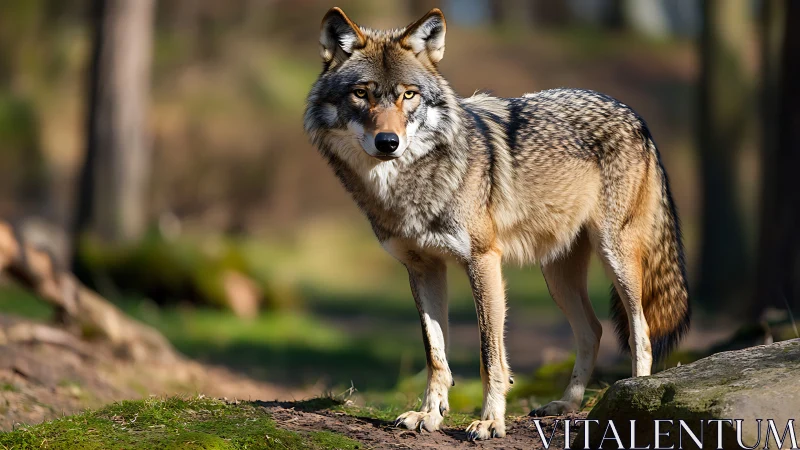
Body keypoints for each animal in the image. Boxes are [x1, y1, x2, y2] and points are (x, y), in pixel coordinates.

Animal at [304, 8, 690, 441]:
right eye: (361, 94)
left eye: (409, 94)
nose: (388, 142)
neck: (408, 186)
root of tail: (633, 113)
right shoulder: (423, 268)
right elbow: (435, 353)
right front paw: (429, 414)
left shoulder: (483, 260)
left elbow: (490, 356)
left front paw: (490, 421)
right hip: (557, 276)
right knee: (593, 329)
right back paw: (566, 406)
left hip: (616, 258)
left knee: (641, 332)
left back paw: (632, 397)